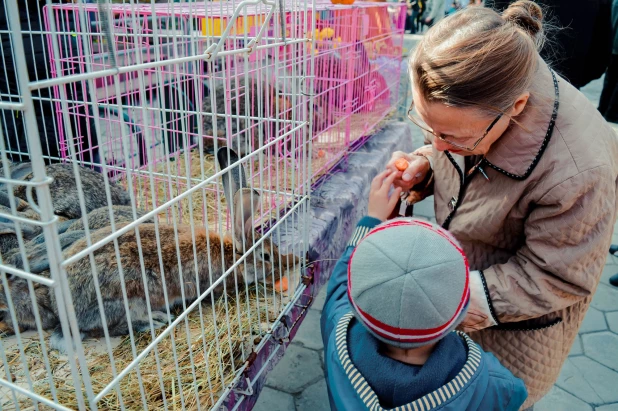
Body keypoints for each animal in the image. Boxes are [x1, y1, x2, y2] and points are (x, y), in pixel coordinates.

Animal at [48, 148, 300, 354]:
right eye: (265, 256)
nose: (279, 270)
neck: (232, 257)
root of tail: (65, 314)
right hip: (125, 300)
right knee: (114, 326)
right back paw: (154, 319)